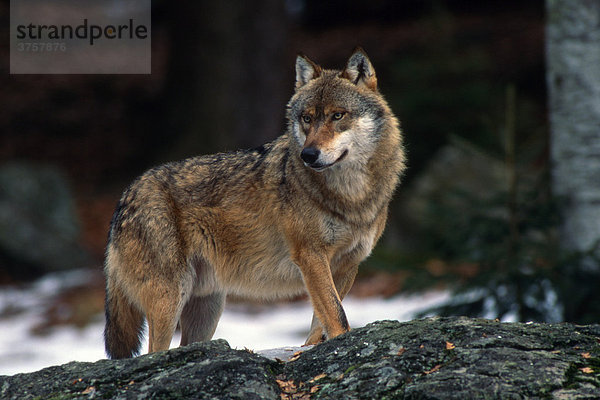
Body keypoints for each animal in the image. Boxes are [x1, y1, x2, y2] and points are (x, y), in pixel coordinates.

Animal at [103, 47, 406, 360]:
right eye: (307, 119)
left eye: (338, 115)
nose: (308, 155)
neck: (351, 195)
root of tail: (125, 196)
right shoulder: (311, 256)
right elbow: (336, 316)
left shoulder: (347, 266)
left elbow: (321, 322)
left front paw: (309, 350)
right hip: (170, 300)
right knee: (154, 351)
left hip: (207, 309)